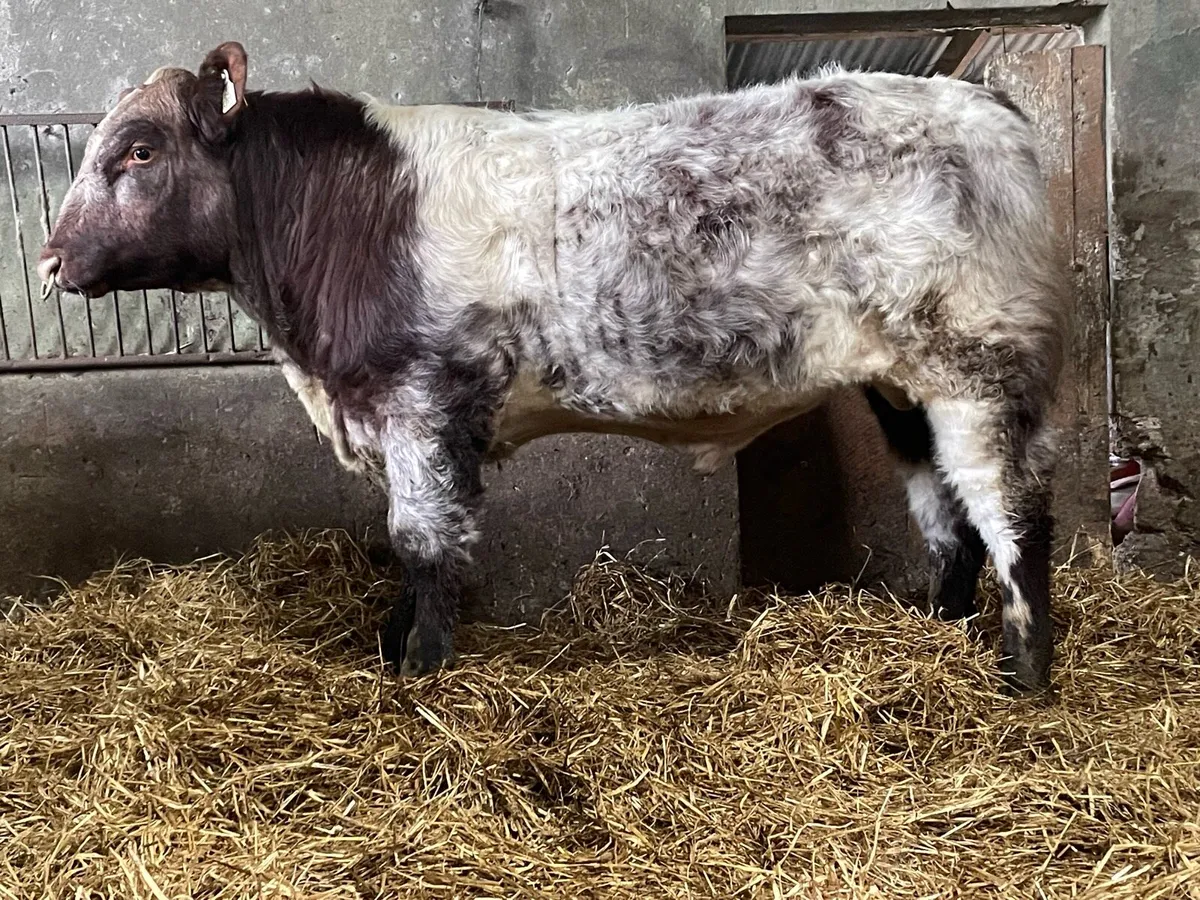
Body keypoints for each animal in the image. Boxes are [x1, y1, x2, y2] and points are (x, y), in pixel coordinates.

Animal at [38, 41, 1067, 693]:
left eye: (139, 150)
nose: (49, 261)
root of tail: (985, 103)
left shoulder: (423, 404)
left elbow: (424, 544)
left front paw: (420, 671)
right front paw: (393, 649)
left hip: (977, 363)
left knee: (1011, 512)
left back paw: (1022, 676)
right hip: (901, 385)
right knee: (947, 518)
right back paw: (936, 635)